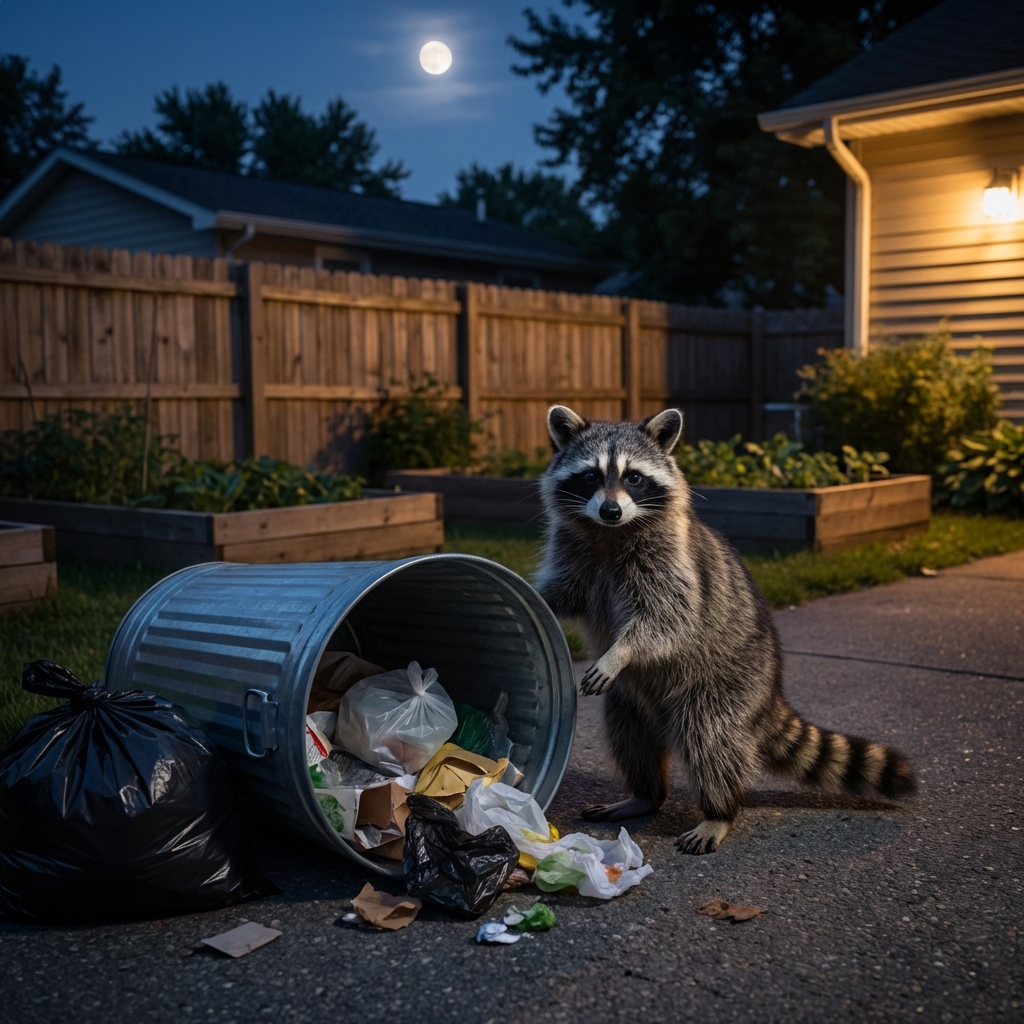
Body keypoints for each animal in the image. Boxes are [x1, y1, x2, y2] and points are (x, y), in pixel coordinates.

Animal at [535, 405, 916, 854]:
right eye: (591, 475)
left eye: (634, 477)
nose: (610, 510)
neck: (611, 533)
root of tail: (770, 693)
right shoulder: (576, 555)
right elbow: (564, 592)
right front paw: (535, 598)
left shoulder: (670, 563)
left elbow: (667, 618)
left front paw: (620, 651)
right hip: (632, 701)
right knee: (630, 735)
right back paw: (645, 795)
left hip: (726, 686)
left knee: (710, 740)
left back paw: (719, 811)